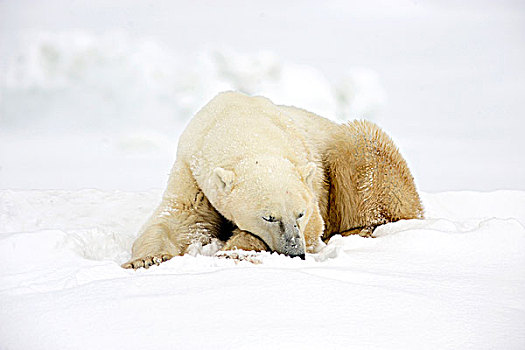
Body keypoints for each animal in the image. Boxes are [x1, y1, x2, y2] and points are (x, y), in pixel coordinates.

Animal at [122, 90, 422, 268]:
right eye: (269, 216)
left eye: (300, 214)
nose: (295, 252)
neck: (242, 125)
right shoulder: (192, 171)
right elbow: (181, 219)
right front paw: (147, 260)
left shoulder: (312, 186)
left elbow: (314, 229)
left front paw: (234, 251)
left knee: (364, 146)